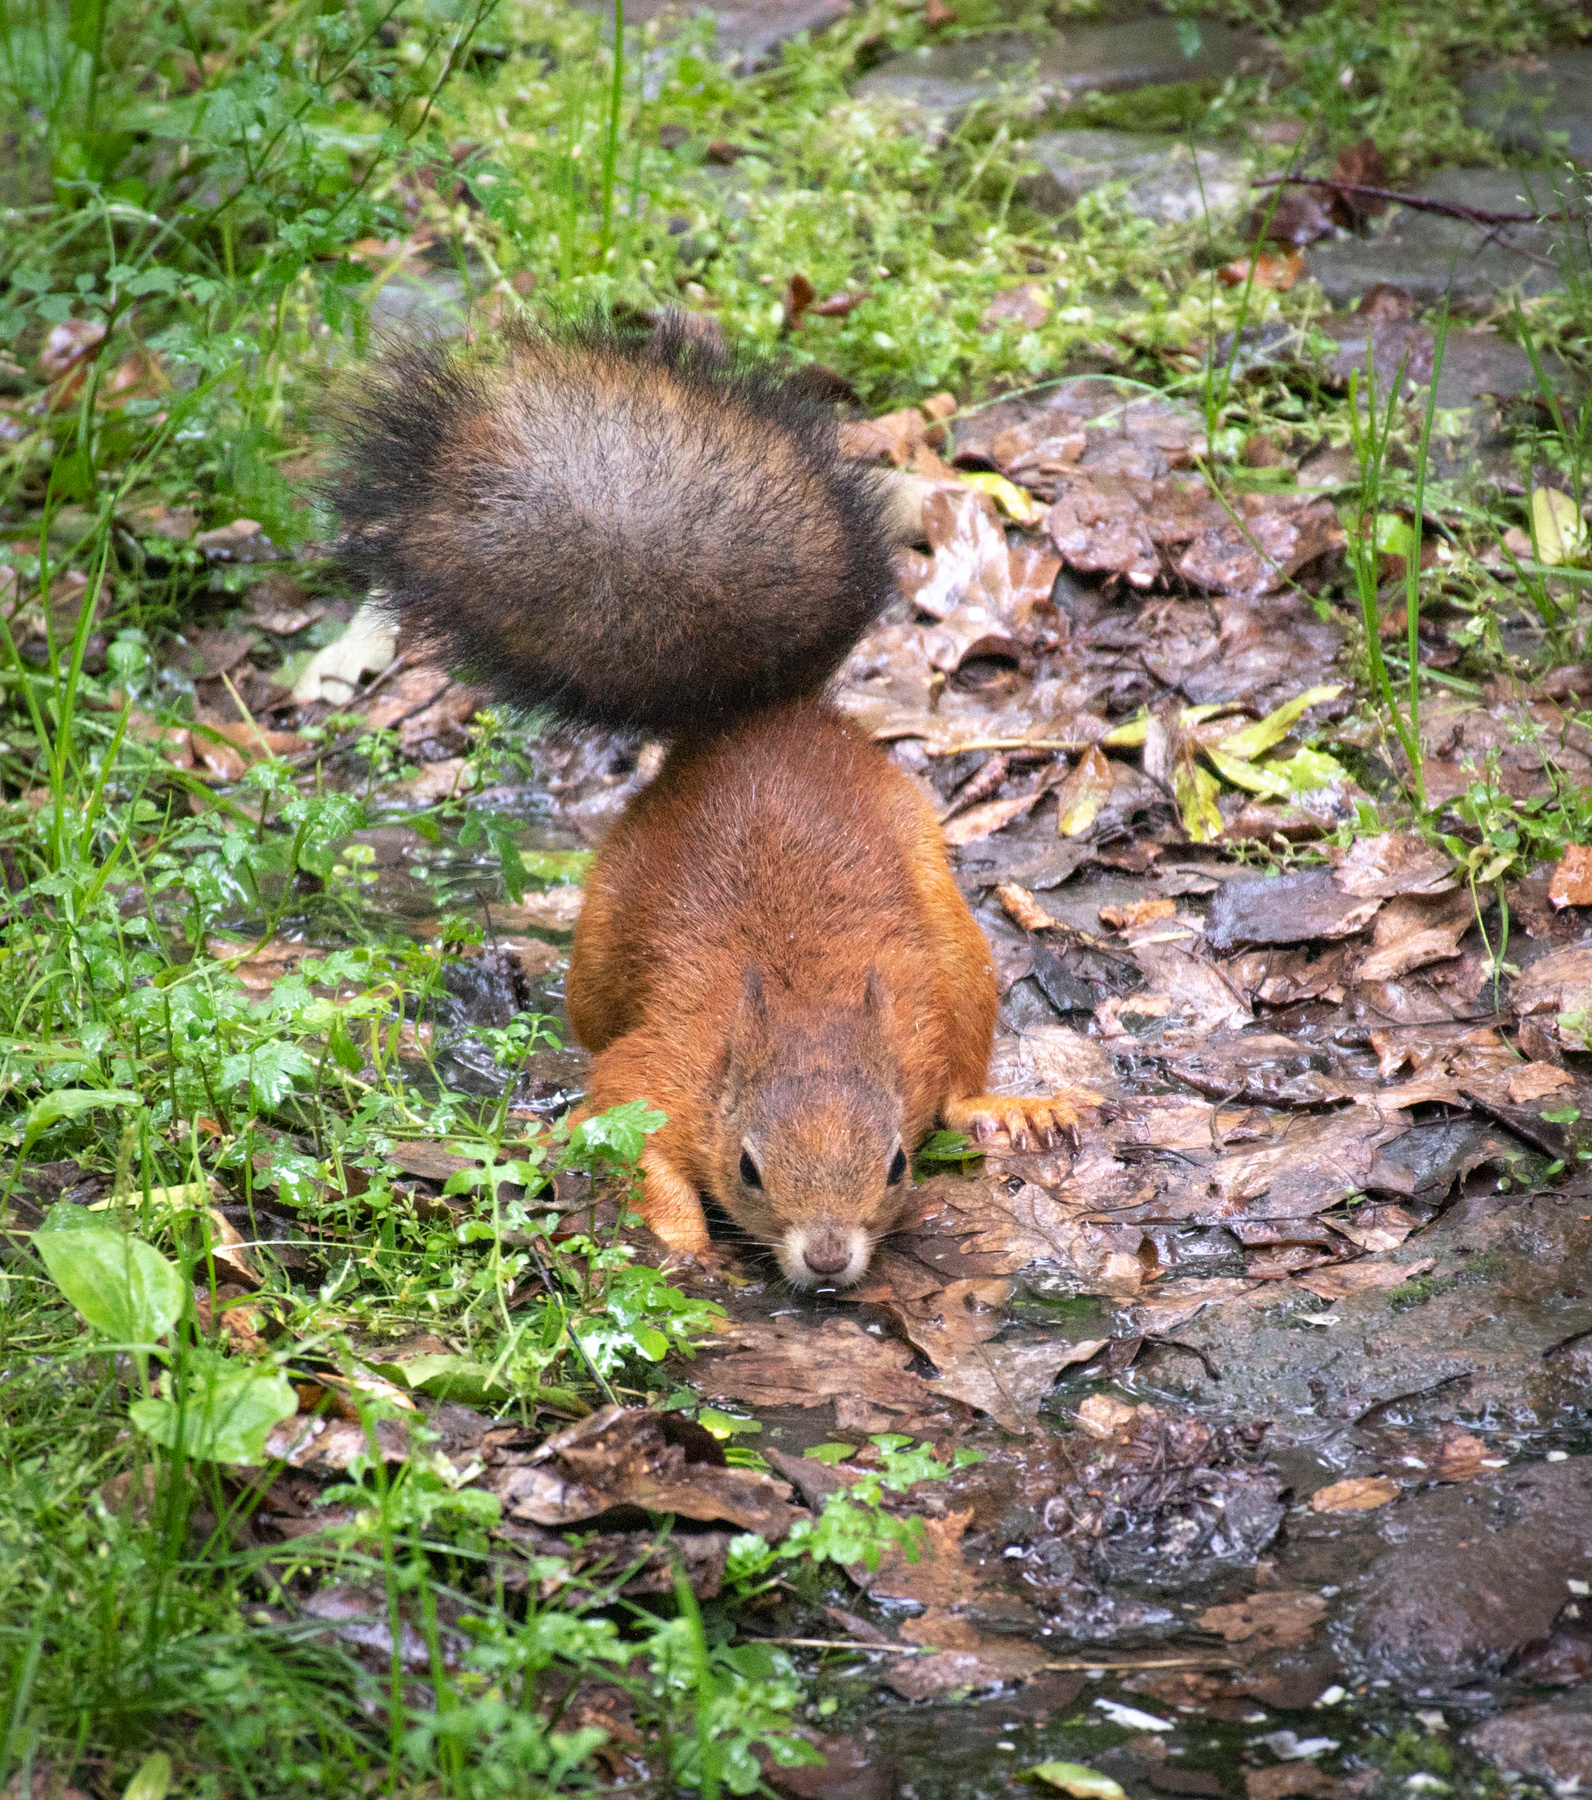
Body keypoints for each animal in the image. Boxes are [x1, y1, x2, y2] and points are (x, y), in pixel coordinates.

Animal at [334, 317, 1079, 1289]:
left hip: (959, 959)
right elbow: (619, 1134)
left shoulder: (916, 1028)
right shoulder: (661, 1072)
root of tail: (751, 719)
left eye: (895, 1166)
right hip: (602, 947)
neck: (800, 1005)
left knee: (960, 1075)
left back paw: (1005, 1106)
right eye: (749, 1168)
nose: (829, 1258)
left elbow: (938, 1089)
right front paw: (683, 1249)